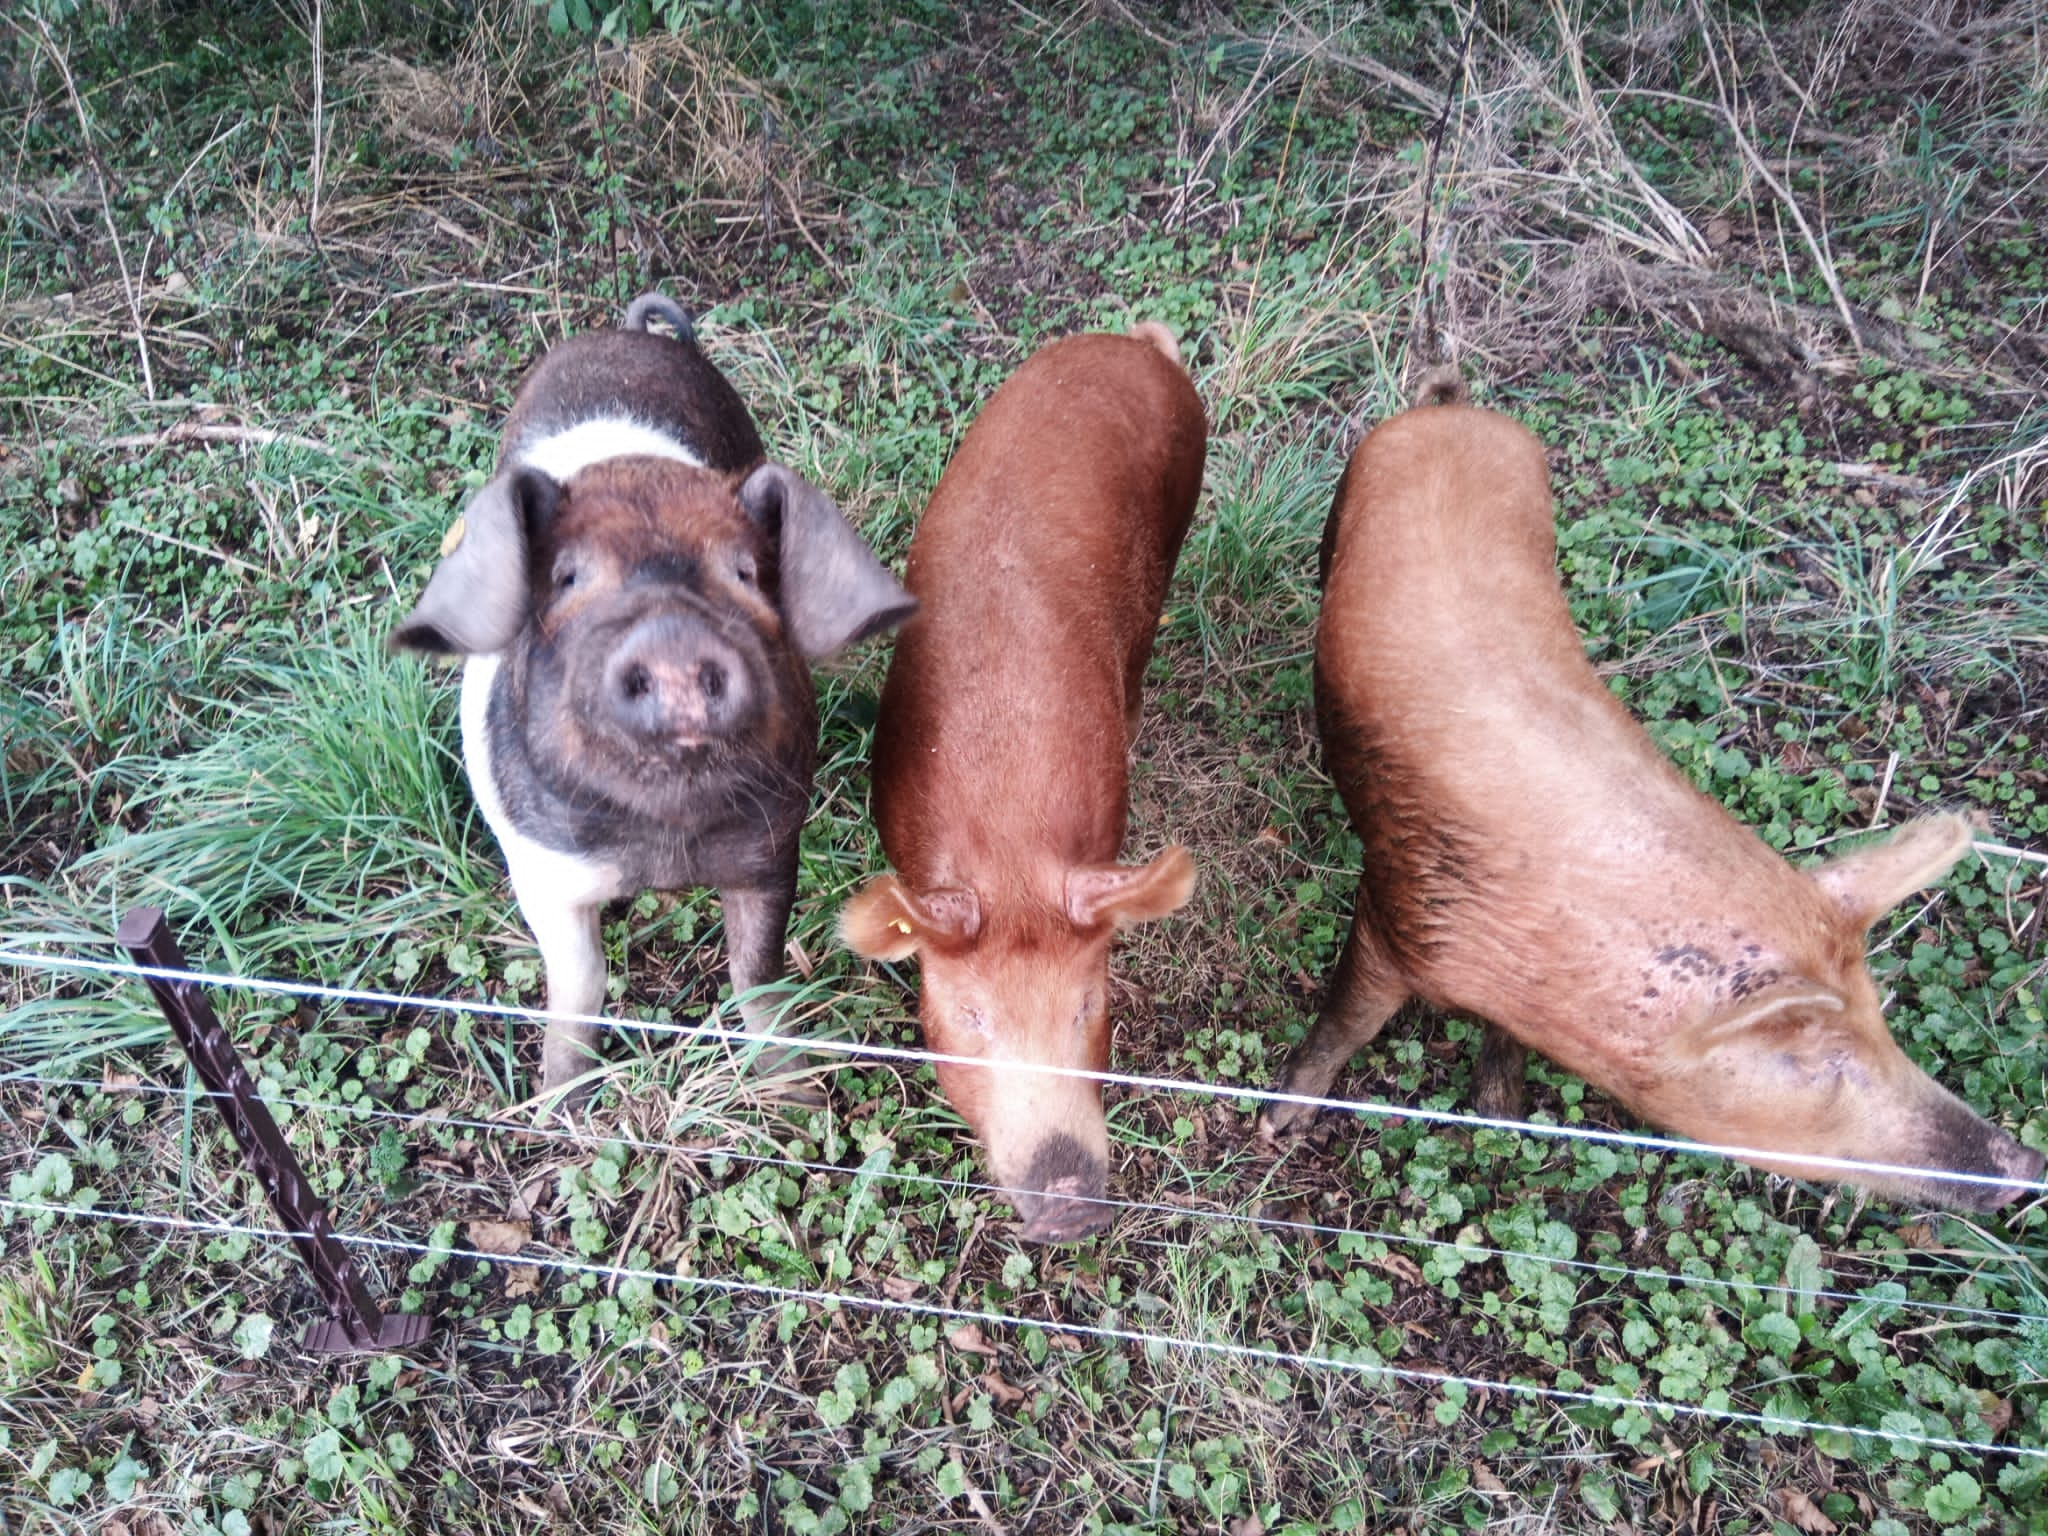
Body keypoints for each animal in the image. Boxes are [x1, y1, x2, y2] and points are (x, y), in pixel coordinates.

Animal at [389, 294, 913, 1097]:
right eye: (567, 576)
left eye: (746, 572)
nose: (672, 632)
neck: (665, 835)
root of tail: (629, 334)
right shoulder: (541, 870)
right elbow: (579, 983)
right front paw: (557, 1101)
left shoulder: (770, 846)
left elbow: (756, 973)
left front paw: (795, 1094)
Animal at [1261, 391, 2048, 1212]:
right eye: (1825, 1061)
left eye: (1880, 1019)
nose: (2027, 1162)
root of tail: (1458, 409)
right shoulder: (1396, 910)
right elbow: (1348, 1019)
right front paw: (1277, 1124)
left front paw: (1501, 1117)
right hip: (1349, 494)